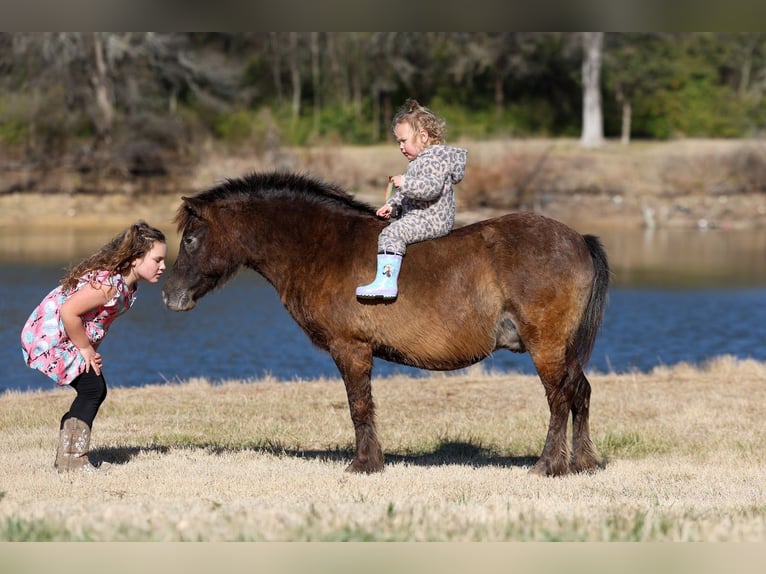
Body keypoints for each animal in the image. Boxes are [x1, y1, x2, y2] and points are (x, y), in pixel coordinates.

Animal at [162, 171, 610, 476]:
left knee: (559, 399)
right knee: (580, 392)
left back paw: (549, 464)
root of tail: (577, 238)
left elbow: (359, 406)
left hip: (545, 346)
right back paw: (583, 462)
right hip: (563, 349)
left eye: (190, 240)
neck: (322, 247)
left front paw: (364, 463)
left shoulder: (350, 348)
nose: (169, 294)